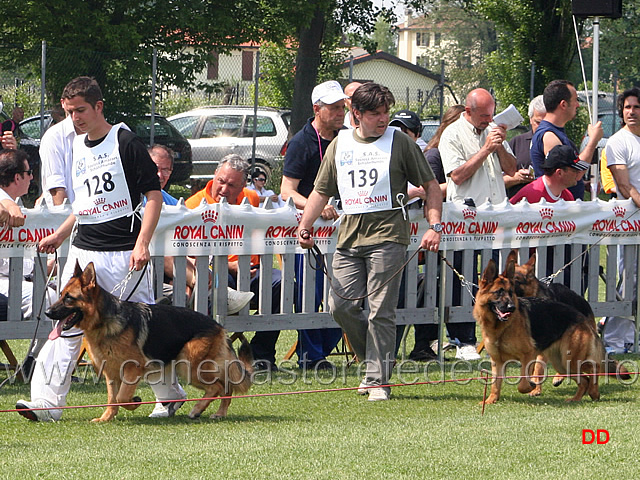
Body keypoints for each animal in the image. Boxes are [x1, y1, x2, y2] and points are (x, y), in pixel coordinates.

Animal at [45, 260, 252, 422]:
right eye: (60, 295)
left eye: (69, 298)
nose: (47, 312)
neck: (104, 321)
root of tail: (218, 325)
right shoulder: (111, 373)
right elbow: (112, 399)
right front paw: (107, 418)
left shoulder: (132, 369)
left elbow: (121, 397)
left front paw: (134, 403)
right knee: (226, 387)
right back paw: (219, 413)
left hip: (188, 365)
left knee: (218, 386)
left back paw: (197, 409)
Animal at [476, 258, 620, 404]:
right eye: (499, 292)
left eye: (510, 292)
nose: (511, 307)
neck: (500, 327)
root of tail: (581, 317)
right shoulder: (497, 361)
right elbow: (495, 384)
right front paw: (490, 400)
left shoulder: (529, 355)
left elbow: (524, 383)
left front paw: (532, 386)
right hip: (562, 363)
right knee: (585, 379)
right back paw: (577, 398)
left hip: (569, 360)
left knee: (595, 367)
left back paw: (593, 392)